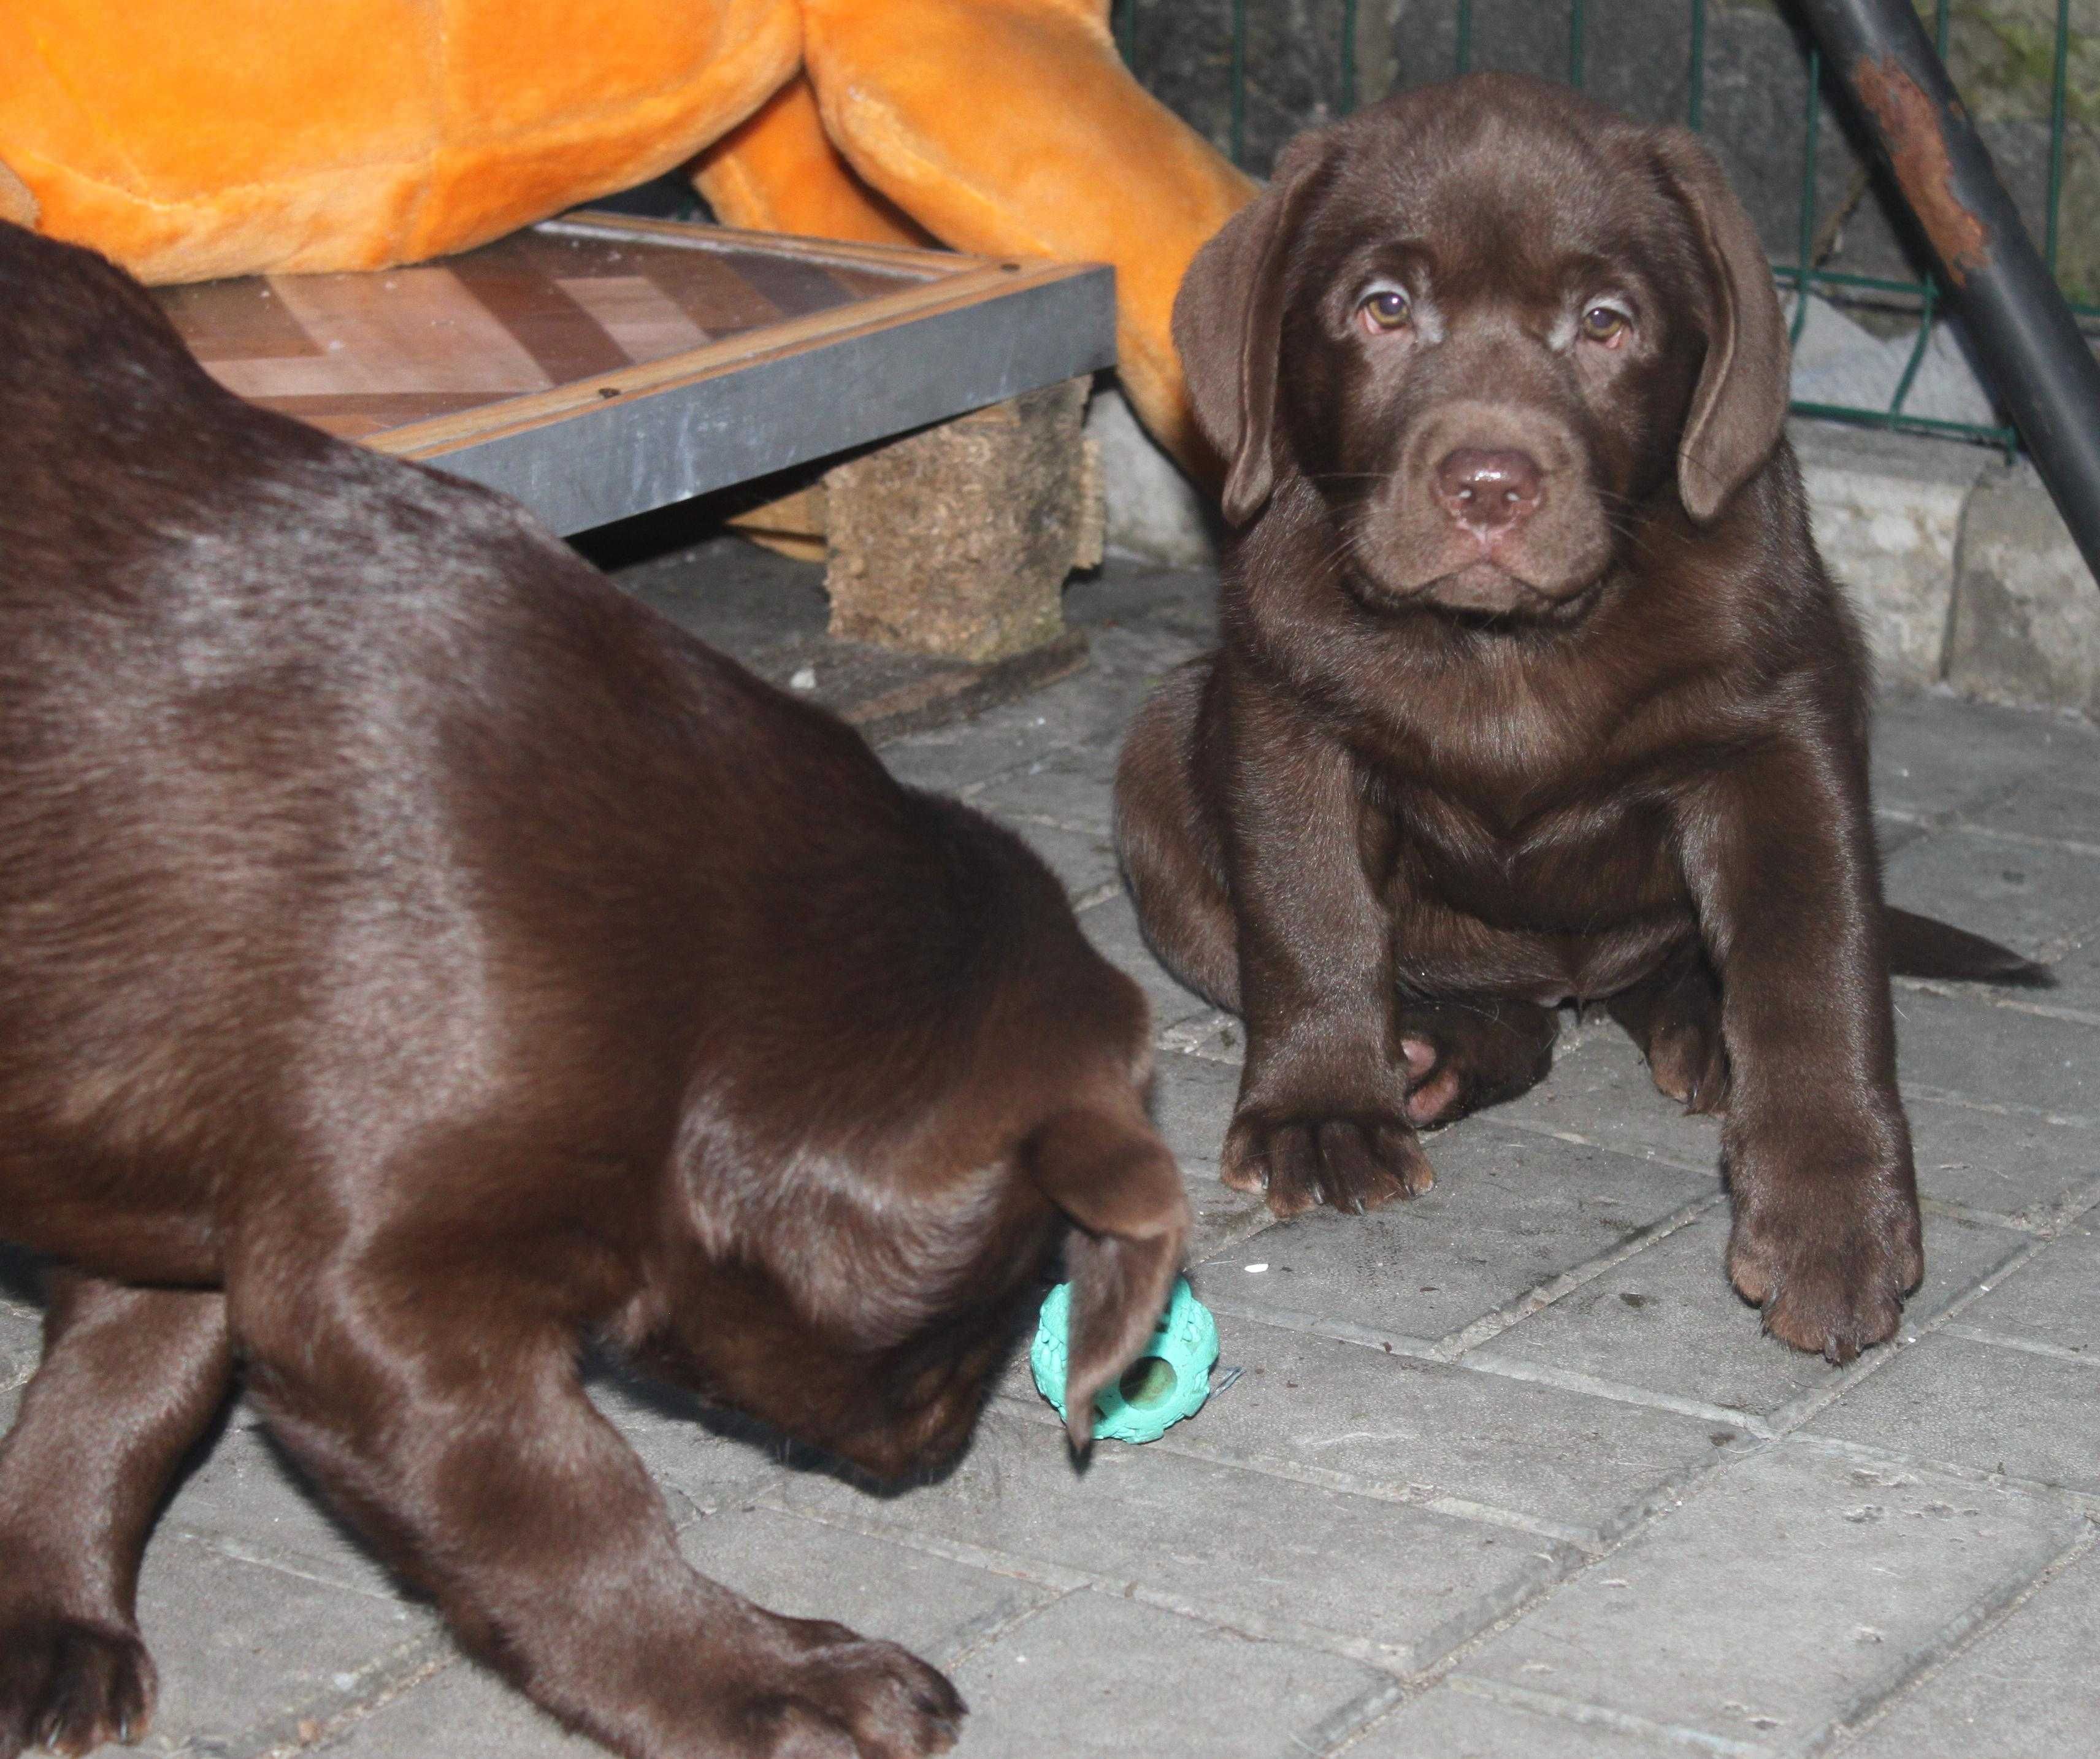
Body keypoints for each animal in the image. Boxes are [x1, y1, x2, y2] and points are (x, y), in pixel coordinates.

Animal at [0, 223, 1184, 1759]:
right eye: (1017, 1280)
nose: (941, 1462)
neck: (708, 995)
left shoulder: (194, 1156)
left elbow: (127, 1381)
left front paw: (48, 1619)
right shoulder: (373, 1305)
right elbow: (571, 1513)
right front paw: (776, 1680)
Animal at [1125, 75, 2041, 1368]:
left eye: (1604, 323)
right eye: (1384, 308)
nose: (1489, 486)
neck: (1506, 645)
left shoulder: (1782, 734)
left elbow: (1813, 971)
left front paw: (1831, 1220)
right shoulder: (1282, 713)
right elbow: (1308, 918)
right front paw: (1321, 1104)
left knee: (1660, 970)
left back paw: (1698, 1025)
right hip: (1161, 751)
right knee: (1503, 1017)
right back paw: (1428, 1053)